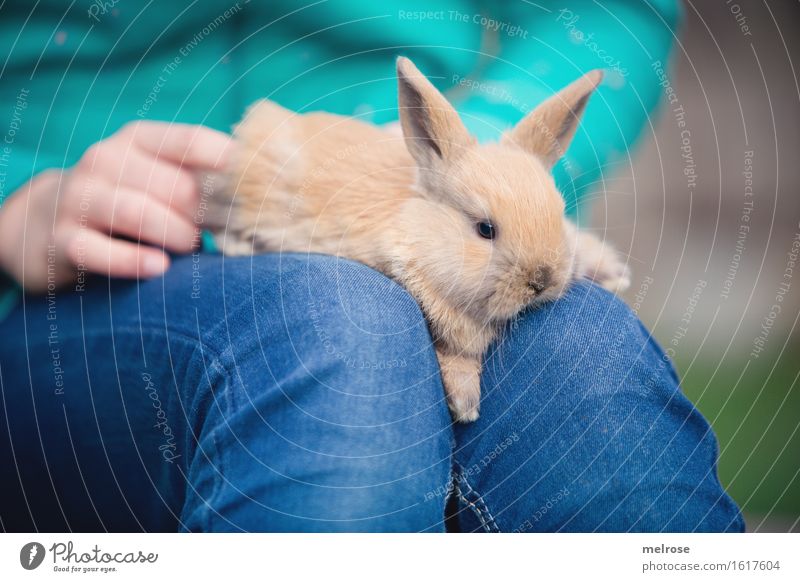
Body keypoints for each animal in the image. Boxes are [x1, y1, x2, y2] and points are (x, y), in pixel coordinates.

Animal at [211, 58, 632, 424]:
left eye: (558, 215)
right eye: (485, 229)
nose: (541, 281)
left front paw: (614, 275)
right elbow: (451, 356)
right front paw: (466, 405)